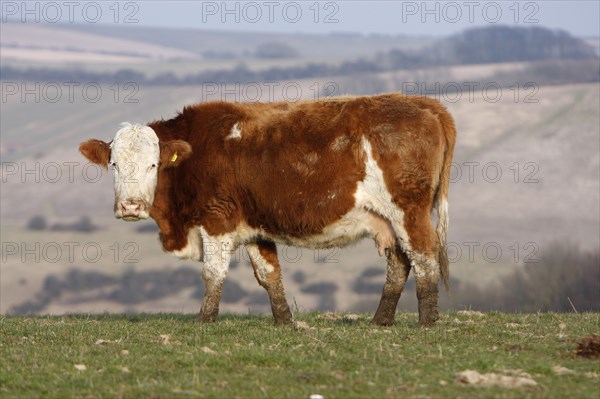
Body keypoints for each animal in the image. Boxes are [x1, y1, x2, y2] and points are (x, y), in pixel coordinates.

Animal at [78, 94, 454, 328]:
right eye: (113, 164)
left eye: (153, 164)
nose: (130, 206)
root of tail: (423, 103)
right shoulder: (255, 227)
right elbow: (269, 275)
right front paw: (285, 322)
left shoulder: (216, 219)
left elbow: (213, 273)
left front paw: (204, 320)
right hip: (390, 219)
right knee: (400, 262)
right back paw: (381, 321)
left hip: (408, 210)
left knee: (424, 256)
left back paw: (426, 322)